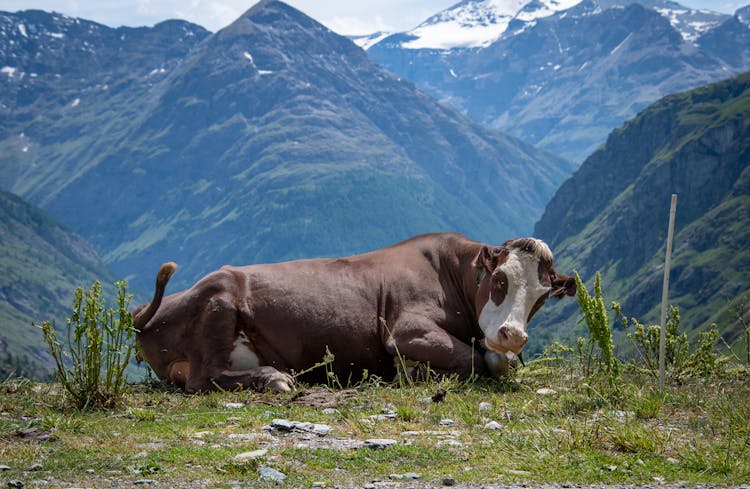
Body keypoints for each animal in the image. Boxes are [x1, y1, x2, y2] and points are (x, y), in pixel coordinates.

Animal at [132, 233, 576, 392]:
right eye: (499, 279)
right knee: (204, 377)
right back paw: (273, 378)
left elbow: (499, 362)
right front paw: (413, 372)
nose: (512, 335)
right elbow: (476, 359)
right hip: (220, 302)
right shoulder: (406, 329)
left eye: (542, 295)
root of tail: (144, 317)